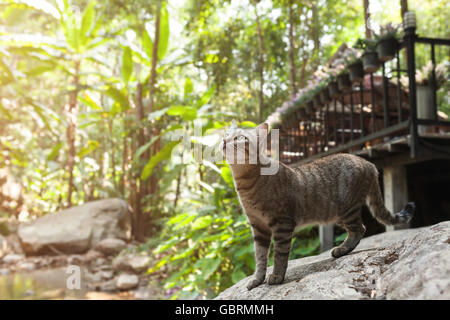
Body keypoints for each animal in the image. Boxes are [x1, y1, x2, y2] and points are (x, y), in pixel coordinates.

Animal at [221, 120, 414, 290]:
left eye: (239, 137)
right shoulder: (259, 228)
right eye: (225, 134)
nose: (223, 140)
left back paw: (341, 249)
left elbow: (279, 254)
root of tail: (368, 163)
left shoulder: (282, 224)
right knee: (360, 229)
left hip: (345, 209)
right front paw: (257, 279)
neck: (246, 182)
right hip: (337, 214)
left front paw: (276, 276)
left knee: (359, 229)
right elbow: (260, 258)